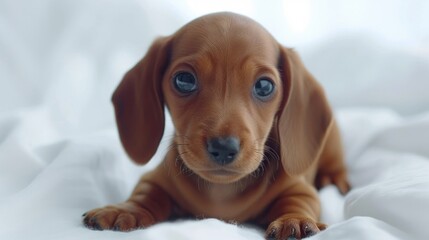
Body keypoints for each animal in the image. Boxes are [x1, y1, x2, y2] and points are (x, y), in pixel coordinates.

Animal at [82, 12, 350, 239]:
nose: (223, 147)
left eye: (264, 86)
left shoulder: (299, 189)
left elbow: (298, 202)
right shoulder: (155, 180)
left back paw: (334, 180)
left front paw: (293, 220)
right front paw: (123, 209)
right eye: (184, 80)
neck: (222, 191)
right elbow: (145, 194)